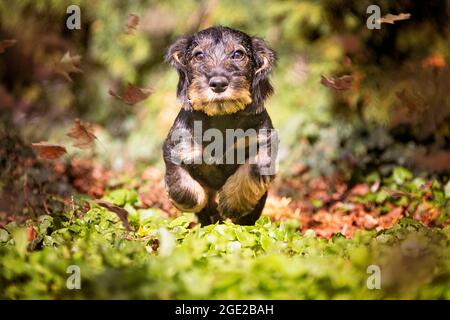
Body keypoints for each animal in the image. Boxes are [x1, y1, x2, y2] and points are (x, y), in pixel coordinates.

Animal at [163, 25, 276, 225]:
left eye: (238, 54)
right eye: (199, 55)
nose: (218, 83)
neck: (220, 118)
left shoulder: (264, 145)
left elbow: (253, 169)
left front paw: (232, 204)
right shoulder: (178, 148)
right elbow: (182, 184)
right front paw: (201, 202)